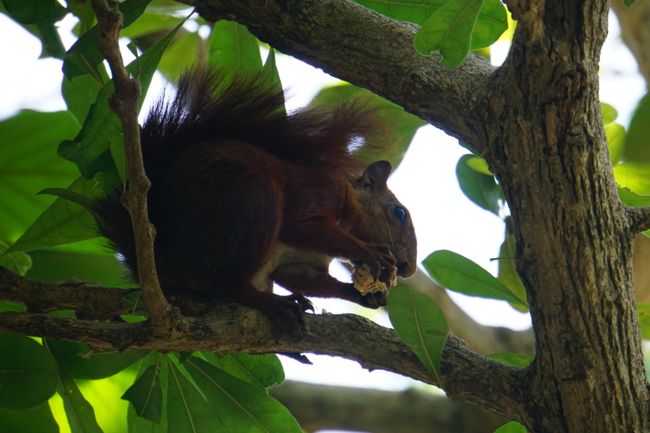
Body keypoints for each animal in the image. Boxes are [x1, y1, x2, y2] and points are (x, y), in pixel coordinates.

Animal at [98, 68, 418, 330]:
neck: (349, 205)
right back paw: (275, 304)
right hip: (249, 200)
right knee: (230, 286)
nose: (408, 269)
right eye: (399, 213)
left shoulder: (302, 263)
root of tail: (167, 264)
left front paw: (363, 295)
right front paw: (373, 252)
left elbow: (300, 277)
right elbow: (300, 226)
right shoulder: (318, 191)